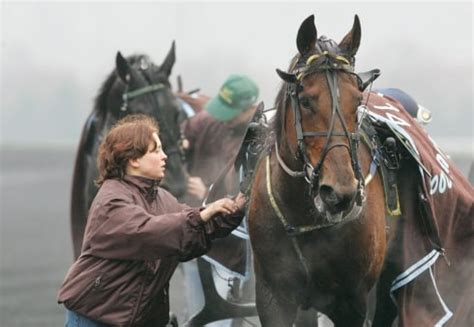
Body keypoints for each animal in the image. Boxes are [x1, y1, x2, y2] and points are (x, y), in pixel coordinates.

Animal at [246, 16, 386, 327]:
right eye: (306, 100)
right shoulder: (274, 297)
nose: (339, 193)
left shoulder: (352, 302)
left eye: (357, 101)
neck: (305, 218)